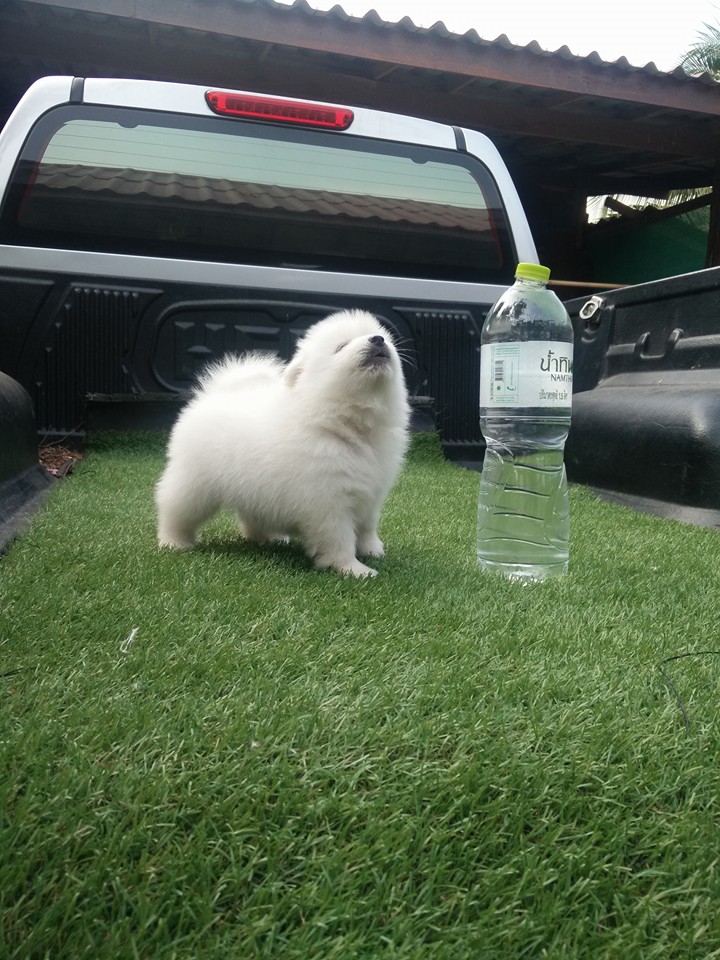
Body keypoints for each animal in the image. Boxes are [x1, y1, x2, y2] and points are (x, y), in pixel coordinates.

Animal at [155, 310, 410, 576]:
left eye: (382, 337)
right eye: (341, 346)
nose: (378, 339)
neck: (345, 428)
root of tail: (214, 394)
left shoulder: (371, 493)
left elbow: (366, 527)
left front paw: (372, 550)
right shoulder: (328, 501)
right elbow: (339, 538)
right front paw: (353, 568)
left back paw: (267, 538)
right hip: (193, 485)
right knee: (174, 510)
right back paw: (173, 541)